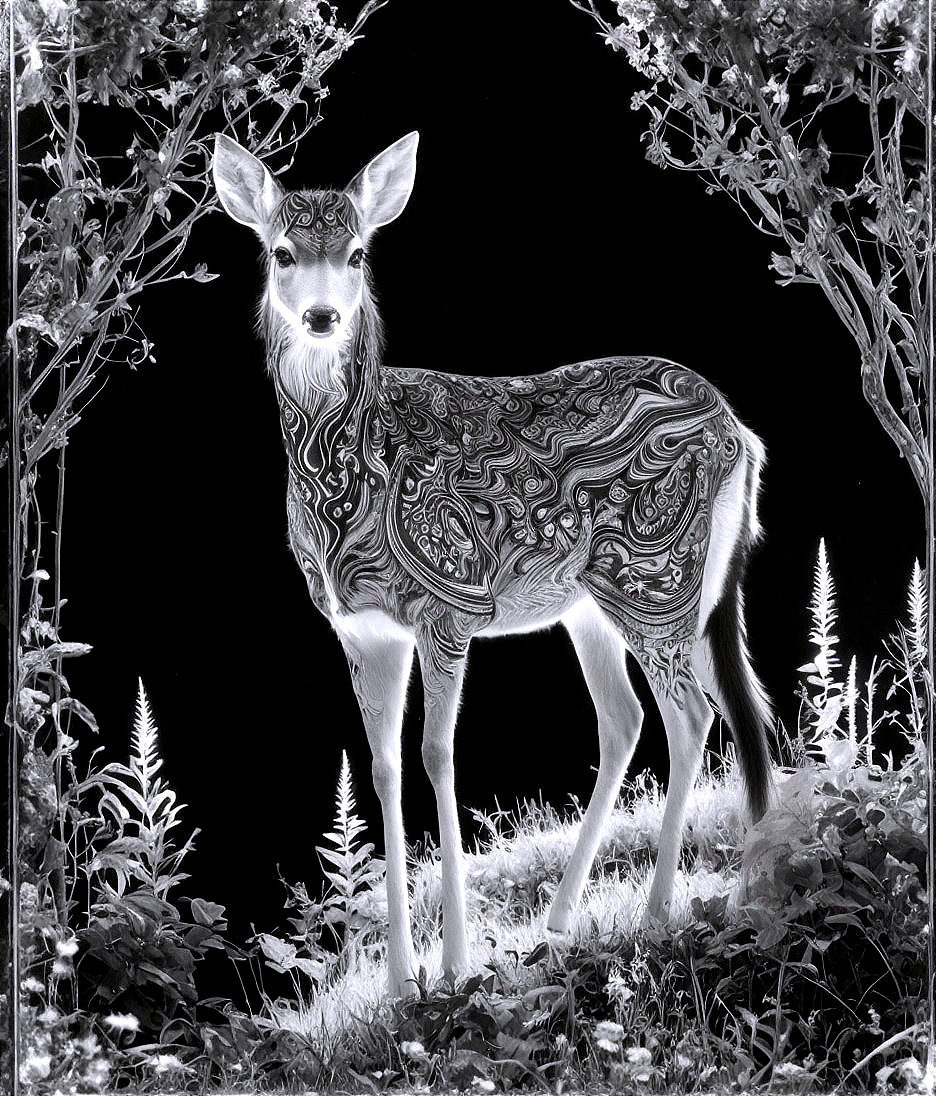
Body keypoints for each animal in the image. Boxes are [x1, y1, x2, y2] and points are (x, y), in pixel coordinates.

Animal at [212, 131, 774, 999]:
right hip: (609, 603)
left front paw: (452, 960)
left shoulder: (448, 608)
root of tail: (741, 434)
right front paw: (400, 978)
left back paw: (656, 915)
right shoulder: (361, 631)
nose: (322, 315)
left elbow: (438, 755)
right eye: (280, 252)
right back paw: (571, 918)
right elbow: (382, 767)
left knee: (692, 716)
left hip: (656, 580)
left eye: (358, 251)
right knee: (640, 716)